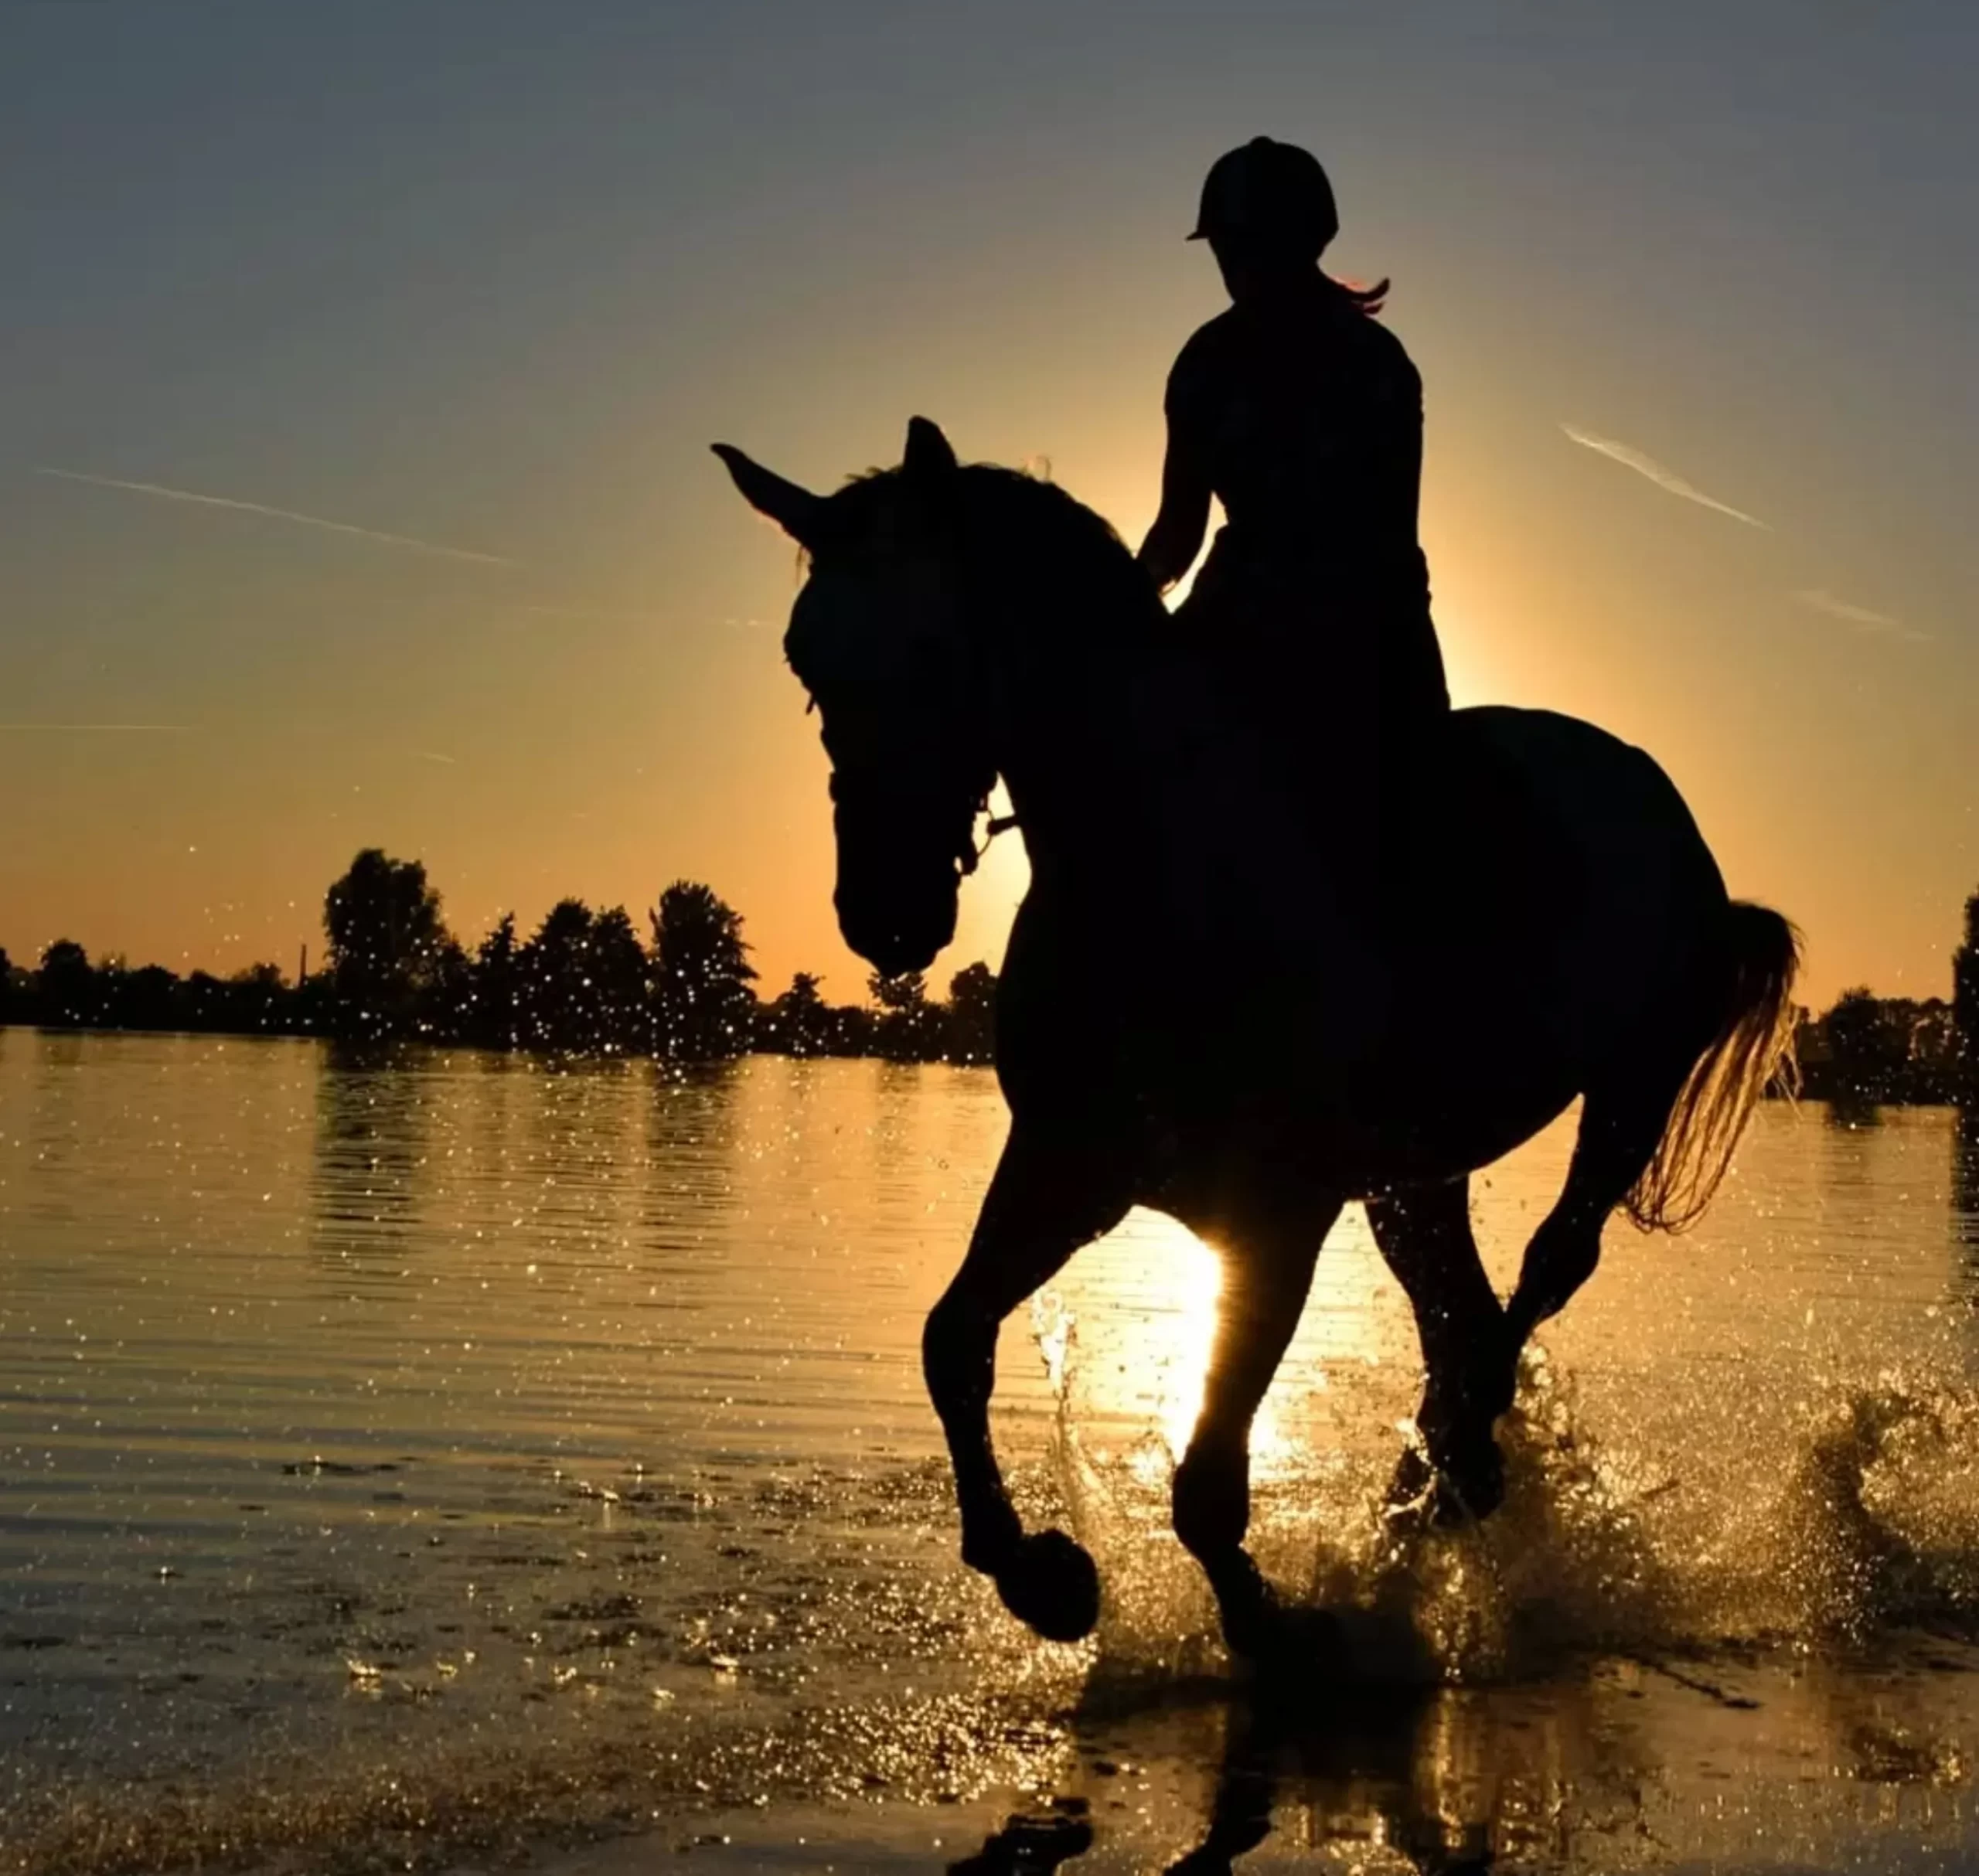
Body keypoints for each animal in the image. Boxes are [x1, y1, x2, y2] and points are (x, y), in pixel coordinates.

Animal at [712, 414, 1797, 1654]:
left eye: (938, 650)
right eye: (807, 663)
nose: (884, 912)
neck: (1157, 872)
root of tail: (1652, 795)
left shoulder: (1276, 1211)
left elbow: (1206, 1478)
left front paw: (1277, 1631)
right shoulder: (1069, 1165)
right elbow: (952, 1341)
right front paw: (1044, 1576)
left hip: (1628, 1090)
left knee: (1543, 1272)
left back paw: (1448, 1476)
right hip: (1414, 1175)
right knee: (1456, 1312)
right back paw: (1437, 1488)